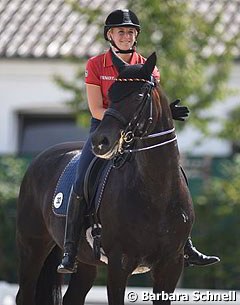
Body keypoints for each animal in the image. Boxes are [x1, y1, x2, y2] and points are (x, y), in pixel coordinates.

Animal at [15, 52, 194, 304]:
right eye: (110, 95)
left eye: (139, 96)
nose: (101, 141)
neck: (157, 191)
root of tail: (41, 157)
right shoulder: (119, 264)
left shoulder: (170, 265)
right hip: (32, 246)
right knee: (25, 293)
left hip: (85, 261)